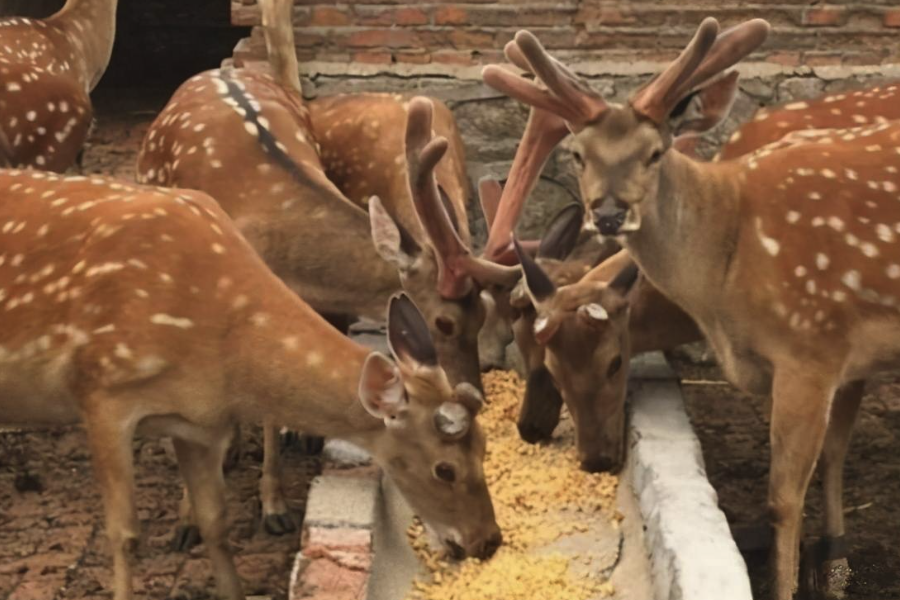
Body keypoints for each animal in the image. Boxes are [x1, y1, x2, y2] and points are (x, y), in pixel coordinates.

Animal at [0, 166, 502, 600]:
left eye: (484, 447)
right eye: (444, 469)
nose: (489, 541)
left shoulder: (195, 422)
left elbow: (216, 522)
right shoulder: (101, 392)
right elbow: (125, 535)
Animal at [486, 17, 900, 600]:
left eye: (616, 362)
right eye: (577, 155)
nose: (593, 459)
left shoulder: (813, 344)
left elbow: (783, 499)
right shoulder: (843, 354)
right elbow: (833, 454)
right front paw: (833, 567)